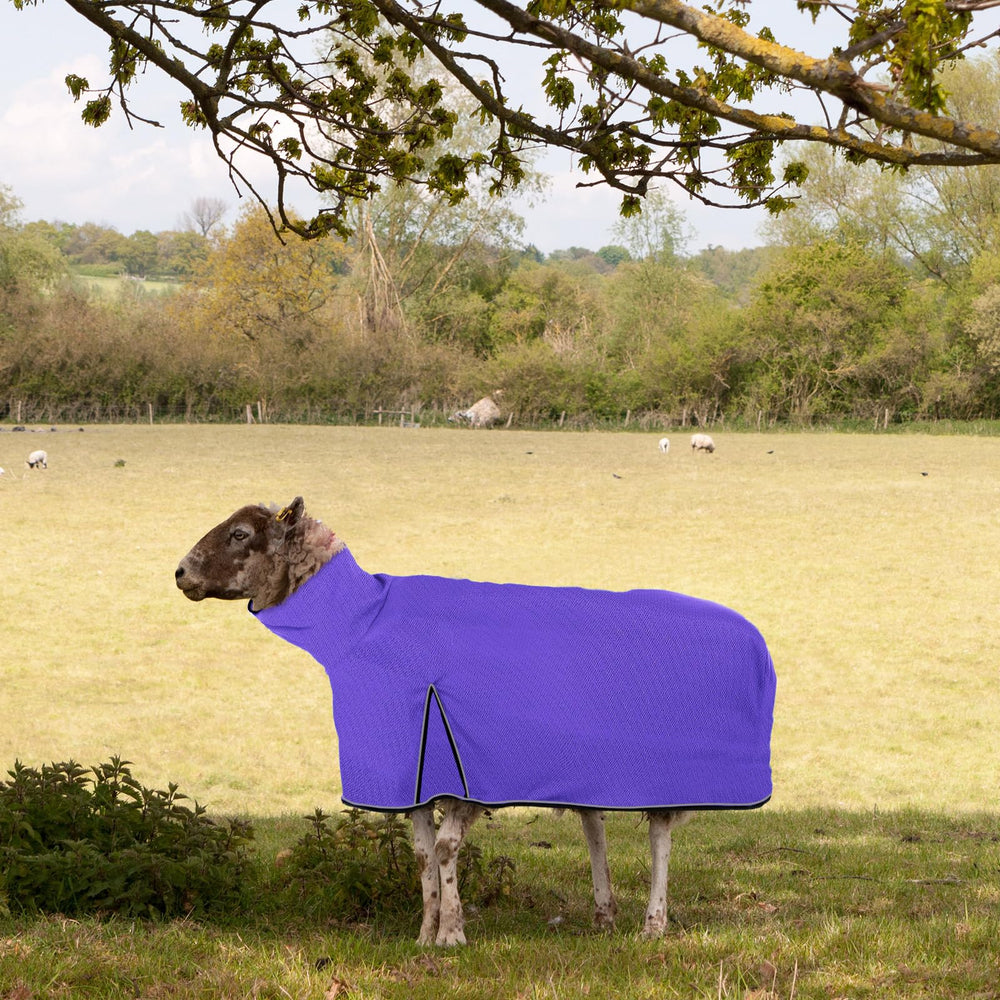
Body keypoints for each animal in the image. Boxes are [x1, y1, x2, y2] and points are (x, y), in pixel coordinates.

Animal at [176, 498, 775, 946]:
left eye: (240, 534)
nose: (179, 572)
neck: (362, 625)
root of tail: (756, 638)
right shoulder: (409, 769)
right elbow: (422, 853)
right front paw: (424, 934)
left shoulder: (466, 768)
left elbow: (445, 849)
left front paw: (451, 935)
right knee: (595, 824)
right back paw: (604, 915)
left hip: (668, 762)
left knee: (658, 834)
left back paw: (653, 923)